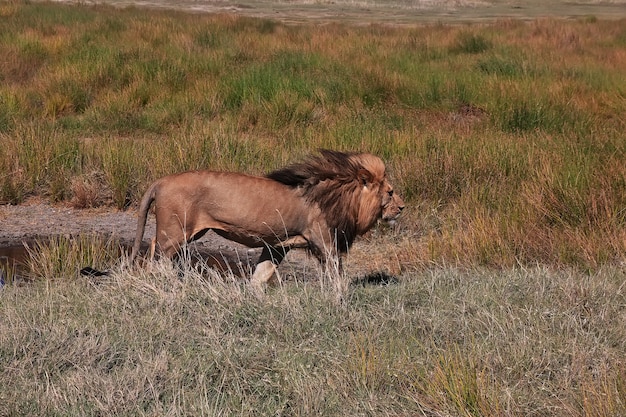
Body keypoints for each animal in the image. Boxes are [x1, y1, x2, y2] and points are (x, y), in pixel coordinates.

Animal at [129, 150, 402, 290]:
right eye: (390, 192)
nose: (402, 207)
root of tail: (161, 181)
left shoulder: (277, 246)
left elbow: (262, 273)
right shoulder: (323, 242)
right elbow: (337, 274)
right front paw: (341, 299)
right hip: (175, 232)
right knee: (155, 251)